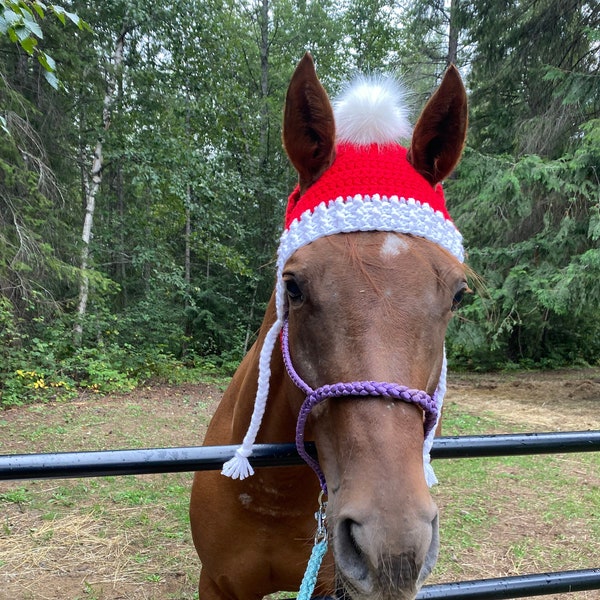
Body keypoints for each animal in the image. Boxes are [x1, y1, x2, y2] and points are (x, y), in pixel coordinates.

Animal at [191, 52, 468, 600]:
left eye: (458, 295)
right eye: (293, 286)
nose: (393, 549)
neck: (275, 494)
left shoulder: (329, 586)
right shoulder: (217, 584)